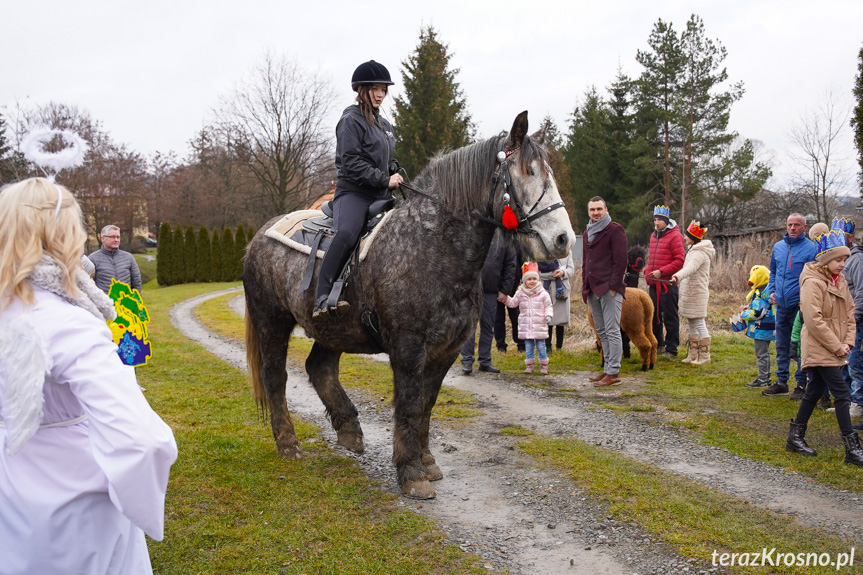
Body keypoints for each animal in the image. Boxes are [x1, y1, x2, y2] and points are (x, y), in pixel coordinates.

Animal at [243, 111, 576, 500]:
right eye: (527, 172)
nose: (563, 239)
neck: (432, 245)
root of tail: (260, 235)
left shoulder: (446, 350)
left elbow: (425, 405)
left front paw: (426, 461)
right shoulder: (408, 347)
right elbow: (407, 402)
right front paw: (411, 471)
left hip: (334, 328)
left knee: (319, 367)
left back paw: (349, 429)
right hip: (272, 323)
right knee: (275, 376)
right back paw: (288, 443)